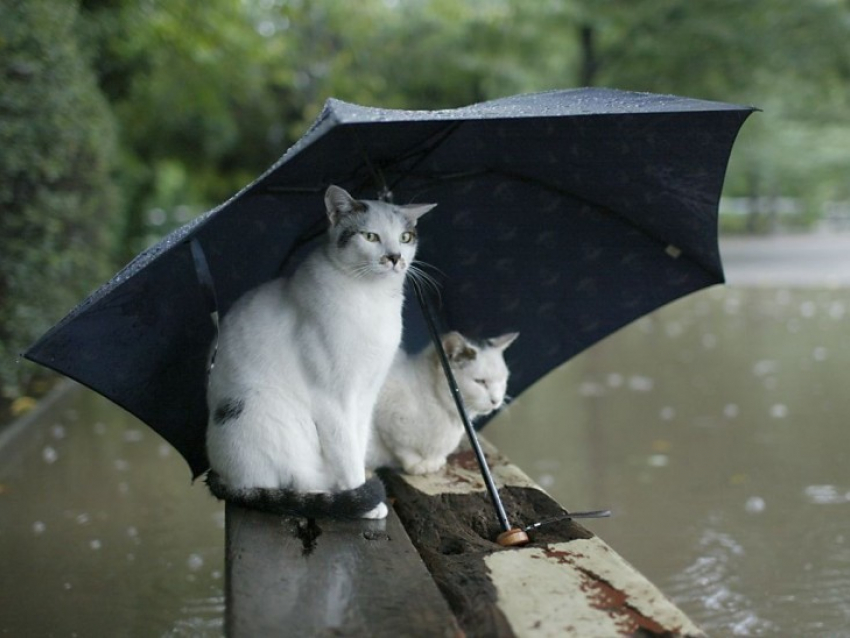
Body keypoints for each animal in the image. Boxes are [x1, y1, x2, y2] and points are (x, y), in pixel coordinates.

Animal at [203, 184, 434, 520]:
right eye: (370, 236)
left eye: (405, 237)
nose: (394, 257)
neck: (372, 298)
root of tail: (219, 473)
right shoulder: (332, 399)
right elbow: (346, 452)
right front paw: (364, 500)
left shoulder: (366, 394)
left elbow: (357, 442)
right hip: (266, 413)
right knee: (287, 483)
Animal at [370, 332, 516, 478]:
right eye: (480, 381)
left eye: (503, 381)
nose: (496, 400)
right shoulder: (386, 417)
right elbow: (403, 448)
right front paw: (416, 464)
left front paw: (433, 462)